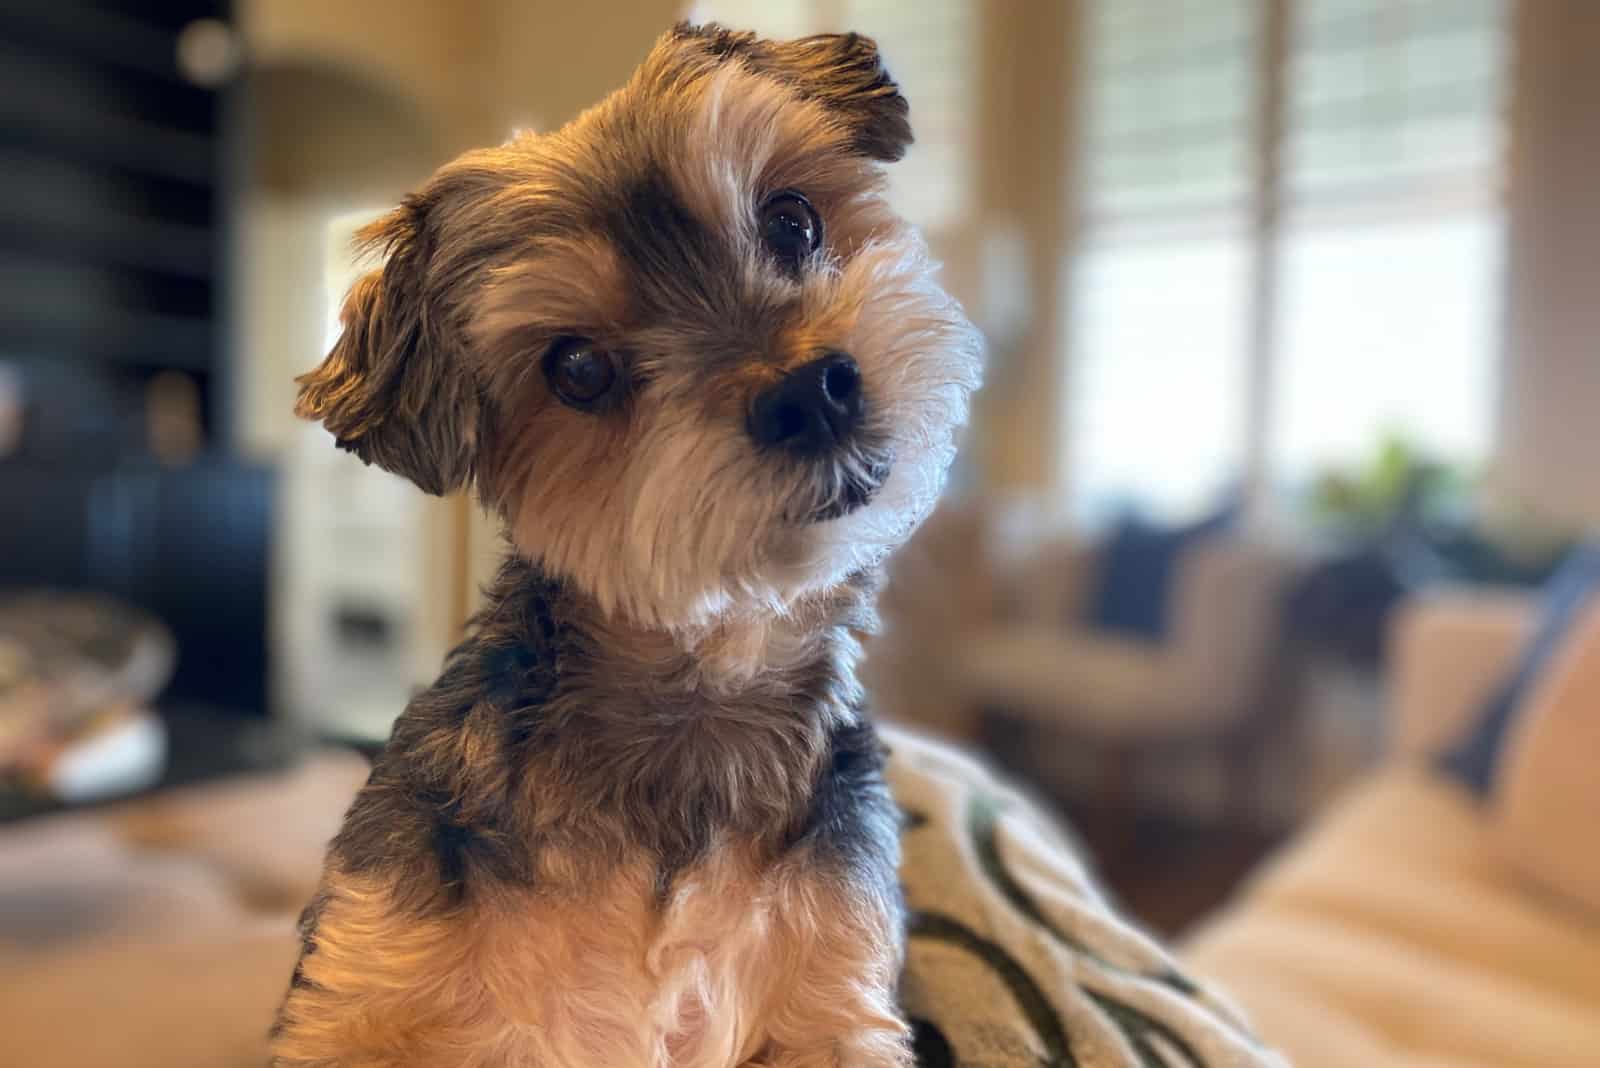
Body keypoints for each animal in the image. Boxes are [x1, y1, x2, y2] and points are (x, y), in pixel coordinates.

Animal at [268, 24, 979, 1068]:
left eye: (793, 222)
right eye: (577, 368)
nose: (809, 394)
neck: (699, 696)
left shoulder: (837, 994)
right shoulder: (363, 979)